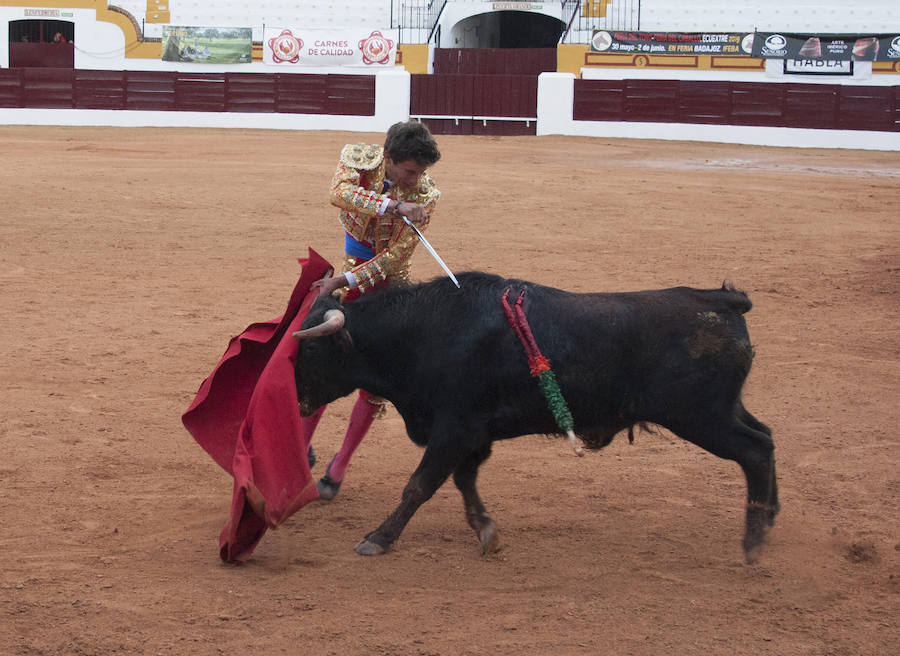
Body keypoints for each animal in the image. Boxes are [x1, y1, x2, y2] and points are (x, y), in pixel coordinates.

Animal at [292, 272, 776, 564]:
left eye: (311, 348)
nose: (298, 403)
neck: (425, 332)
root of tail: (724, 301)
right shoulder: (474, 435)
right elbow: (464, 481)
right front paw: (486, 530)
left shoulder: (454, 428)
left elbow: (420, 485)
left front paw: (378, 538)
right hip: (723, 410)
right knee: (767, 438)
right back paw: (769, 519)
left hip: (700, 417)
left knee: (754, 450)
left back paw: (753, 543)